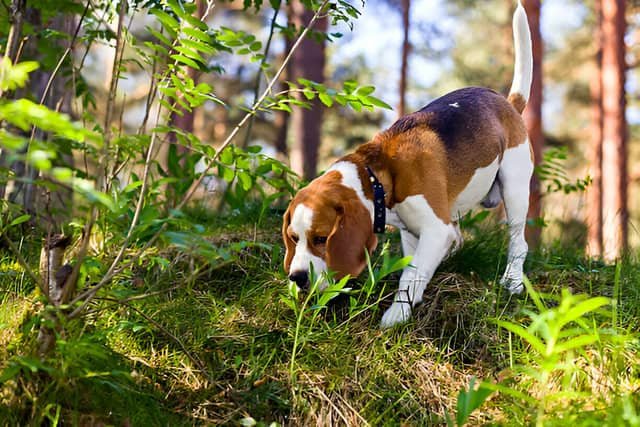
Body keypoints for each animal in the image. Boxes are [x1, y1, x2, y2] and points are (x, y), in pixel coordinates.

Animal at [282, 2, 532, 328]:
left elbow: (411, 277)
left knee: (518, 242)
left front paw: (396, 315)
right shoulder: (412, 233)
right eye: (293, 238)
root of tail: (508, 103)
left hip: (515, 188)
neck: (378, 175)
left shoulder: (435, 230)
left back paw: (512, 280)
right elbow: (414, 269)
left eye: (322, 238)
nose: (296, 277)